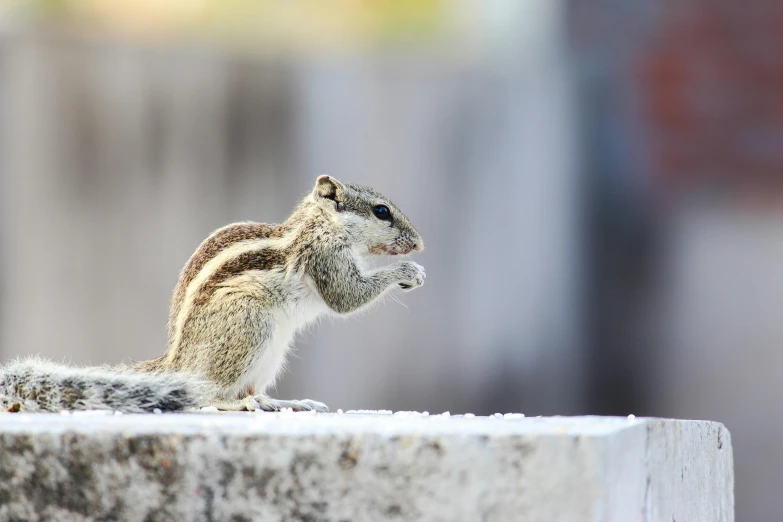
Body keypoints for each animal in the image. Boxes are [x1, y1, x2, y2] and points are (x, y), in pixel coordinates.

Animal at [0, 177, 426, 412]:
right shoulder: (325, 257)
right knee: (207, 394)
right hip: (250, 323)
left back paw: (279, 402)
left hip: (270, 352)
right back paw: (238, 402)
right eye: (382, 211)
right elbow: (346, 297)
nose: (420, 244)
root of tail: (175, 362)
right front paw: (409, 272)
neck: (321, 224)